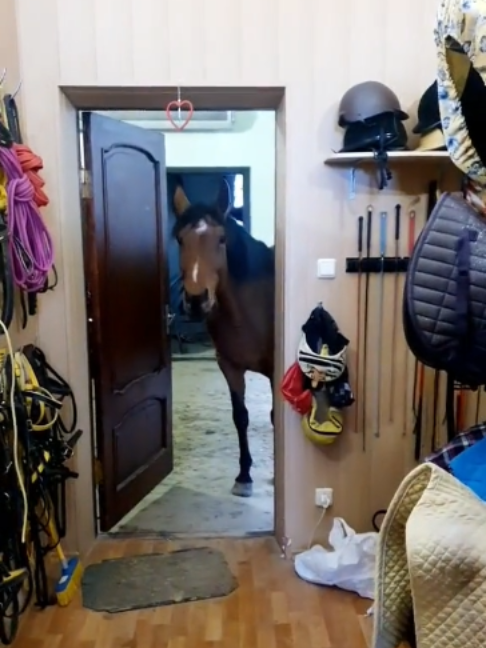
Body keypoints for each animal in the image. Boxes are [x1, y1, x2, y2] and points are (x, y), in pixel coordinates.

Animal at [171, 180, 275, 497]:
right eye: (180, 239)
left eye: (221, 239)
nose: (196, 301)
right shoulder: (229, 367)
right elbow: (240, 417)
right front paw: (244, 476)